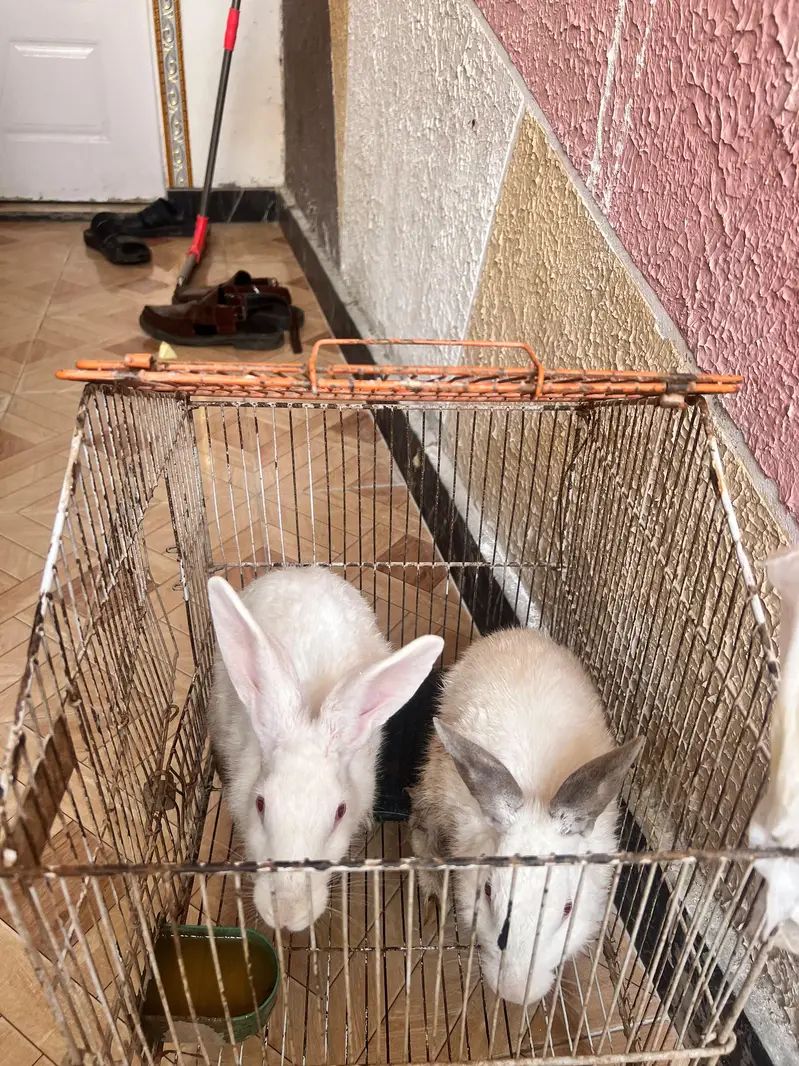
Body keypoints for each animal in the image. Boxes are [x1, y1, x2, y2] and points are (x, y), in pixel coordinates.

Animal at [409, 627, 642, 1006]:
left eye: (568, 909)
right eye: (488, 893)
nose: (516, 993)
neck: (537, 795)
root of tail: (520, 632)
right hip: (436, 776)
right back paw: (432, 892)